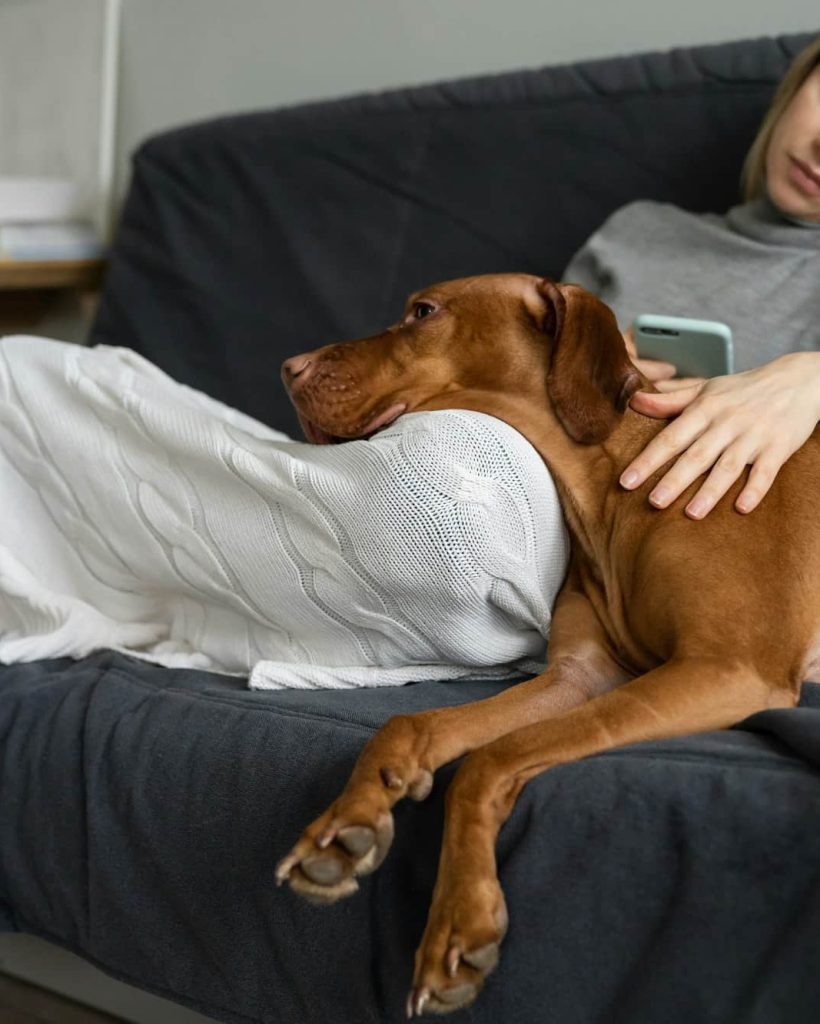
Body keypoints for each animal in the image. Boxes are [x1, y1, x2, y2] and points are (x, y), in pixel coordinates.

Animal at [274, 272, 810, 1015]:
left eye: (423, 312)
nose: (289, 367)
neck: (613, 482)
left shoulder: (726, 668)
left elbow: (488, 760)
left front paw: (459, 922)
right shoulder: (579, 677)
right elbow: (412, 723)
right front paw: (350, 823)